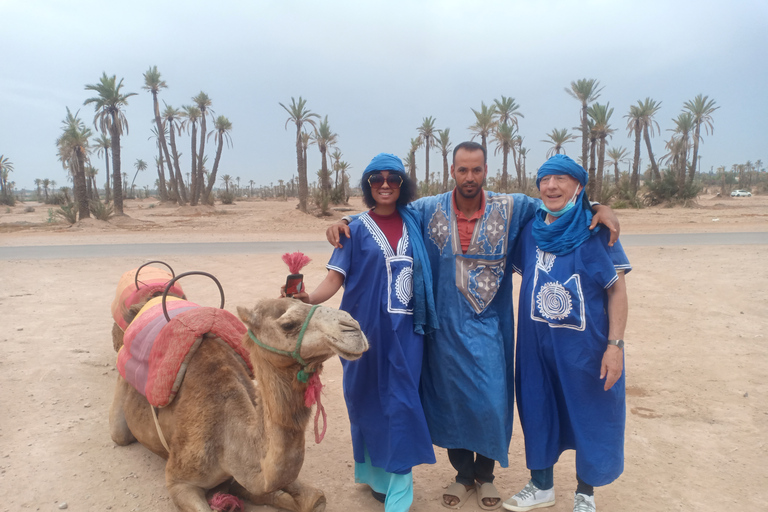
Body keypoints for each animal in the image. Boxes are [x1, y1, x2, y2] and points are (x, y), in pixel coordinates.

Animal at [108, 298, 368, 510]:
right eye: (288, 324)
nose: (354, 328)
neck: (227, 436)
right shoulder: (179, 482)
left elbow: (314, 499)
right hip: (121, 398)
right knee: (119, 435)